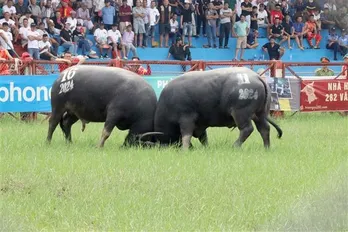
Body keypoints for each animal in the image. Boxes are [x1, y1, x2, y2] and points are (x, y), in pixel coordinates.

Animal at [144, 66, 282, 149]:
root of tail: (256, 77)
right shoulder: (200, 123)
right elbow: (203, 137)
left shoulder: (186, 118)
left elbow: (186, 134)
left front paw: (185, 148)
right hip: (260, 114)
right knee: (264, 129)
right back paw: (266, 147)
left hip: (241, 113)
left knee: (247, 129)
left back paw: (235, 146)